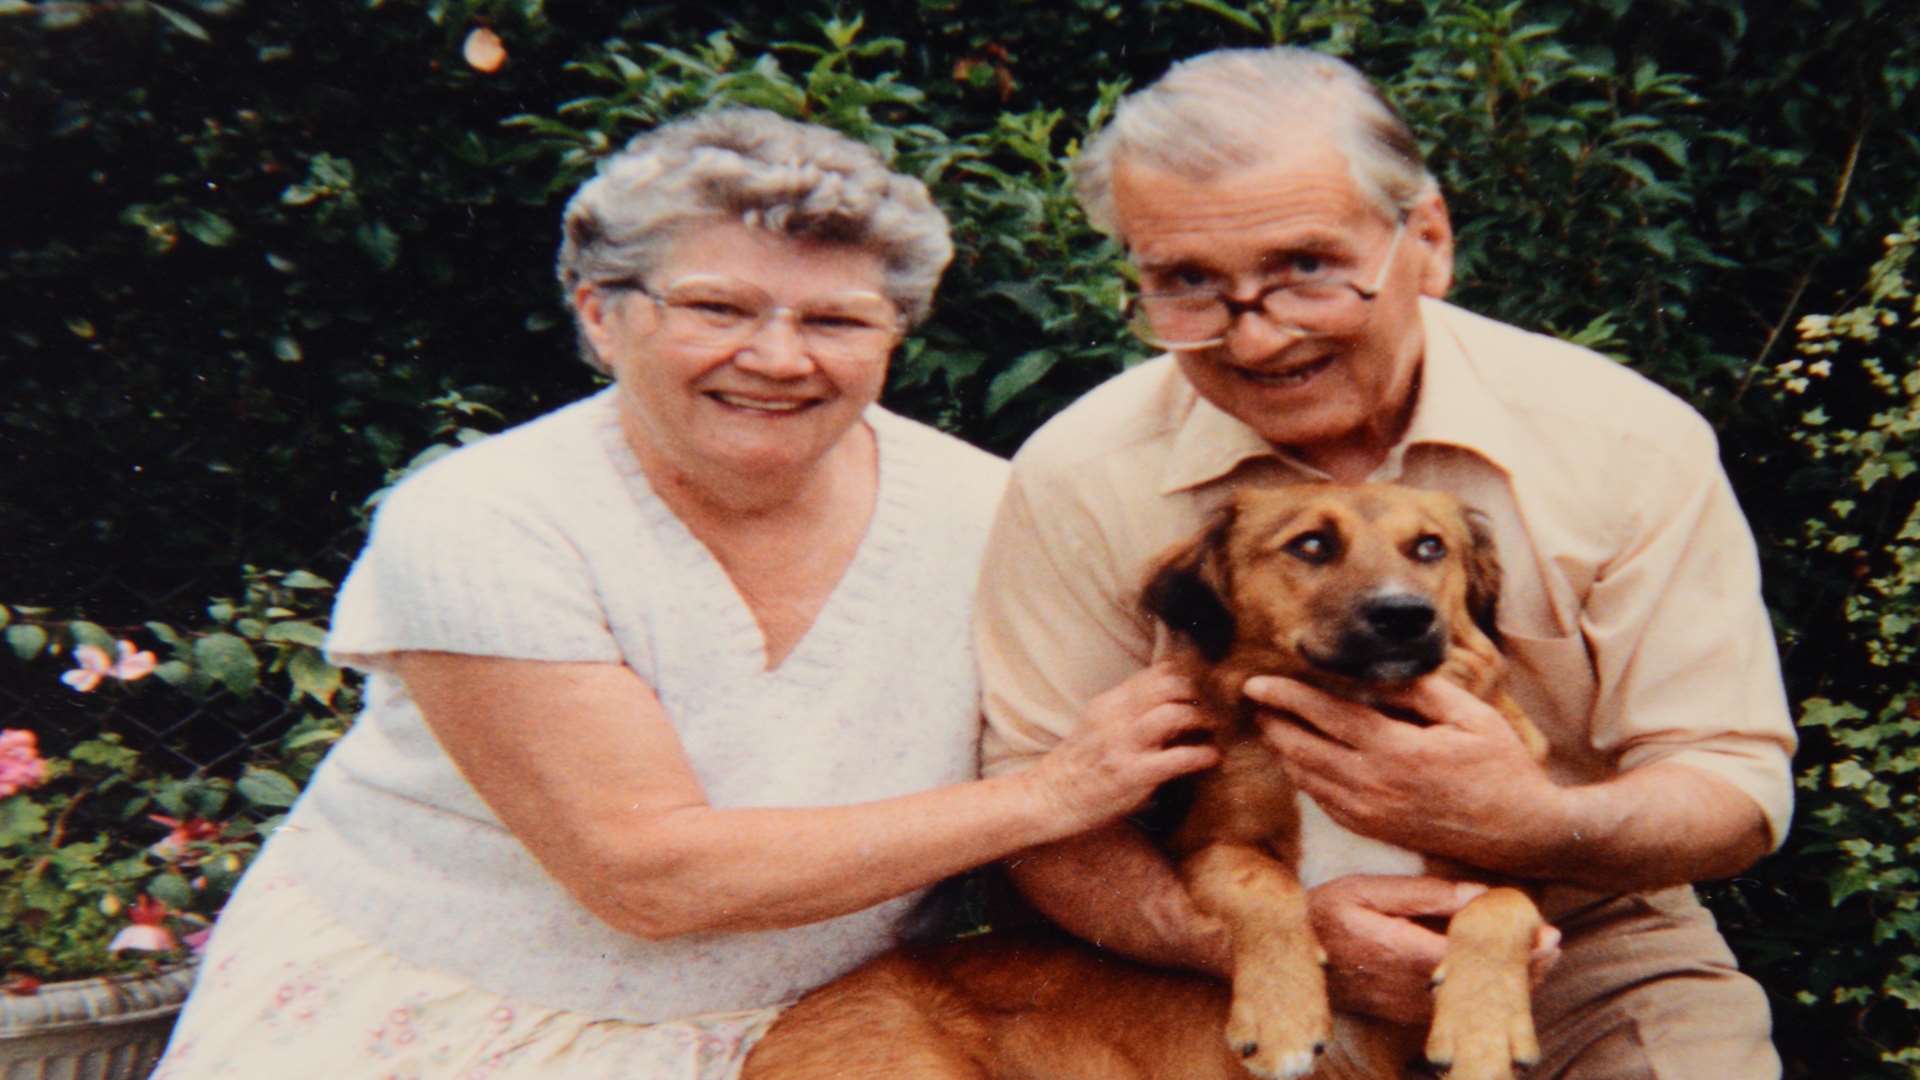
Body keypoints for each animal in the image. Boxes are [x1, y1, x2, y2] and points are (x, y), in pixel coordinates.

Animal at [741, 484, 1551, 1068]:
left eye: (1429, 547)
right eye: (1312, 545)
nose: (1405, 617)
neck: (1352, 708)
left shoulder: (1494, 862)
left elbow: (1501, 908)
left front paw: (1483, 1034)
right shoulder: (1212, 848)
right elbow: (1269, 890)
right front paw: (1284, 1015)